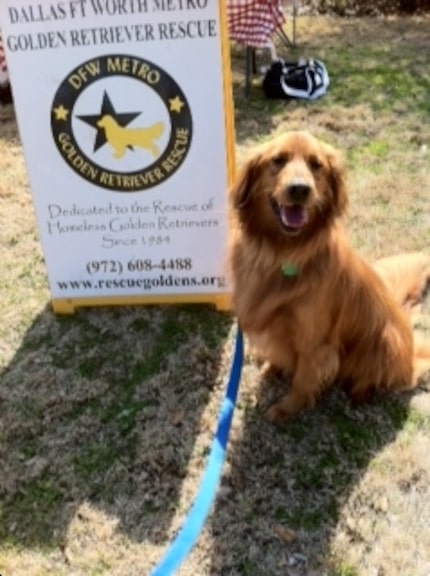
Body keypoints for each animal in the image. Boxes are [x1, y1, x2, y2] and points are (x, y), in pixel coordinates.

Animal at [230, 133, 430, 426]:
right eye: (278, 160)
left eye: (316, 165)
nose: (300, 189)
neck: (282, 253)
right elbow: (280, 353)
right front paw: (272, 367)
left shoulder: (316, 344)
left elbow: (302, 382)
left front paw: (287, 409)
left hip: (384, 341)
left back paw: (360, 392)